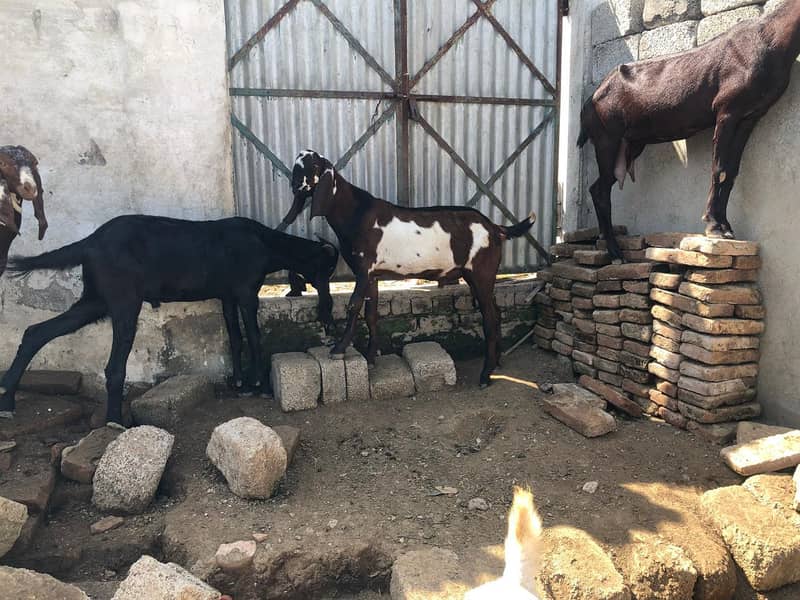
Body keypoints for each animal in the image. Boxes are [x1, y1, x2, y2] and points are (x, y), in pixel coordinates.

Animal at [0, 215, 339, 425]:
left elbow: (235, 336)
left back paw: (7, 399)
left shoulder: (227, 296)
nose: (327, 304)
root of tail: (90, 241)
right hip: (124, 304)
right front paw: (261, 386)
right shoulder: (245, 293)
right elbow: (254, 337)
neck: (263, 242)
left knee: (35, 332)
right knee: (113, 367)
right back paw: (114, 421)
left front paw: (240, 382)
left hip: (94, 302)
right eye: (326, 267)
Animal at [283, 150, 535, 387]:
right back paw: (497, 362)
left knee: (490, 319)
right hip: (480, 277)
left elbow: (353, 306)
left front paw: (339, 349)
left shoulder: (363, 270)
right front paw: (371, 358)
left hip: (482, 274)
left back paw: (485, 375)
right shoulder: (372, 275)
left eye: (312, 166)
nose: (294, 185)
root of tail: (495, 228)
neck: (356, 212)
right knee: (497, 313)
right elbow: (371, 314)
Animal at [579, 1, 800, 260]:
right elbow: (719, 168)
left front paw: (726, 226)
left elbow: (732, 171)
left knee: (600, 186)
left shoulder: (751, 117)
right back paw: (615, 252)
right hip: (607, 139)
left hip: (630, 144)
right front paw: (714, 225)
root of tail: (590, 101)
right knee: (601, 191)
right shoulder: (727, 112)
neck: (771, 37)